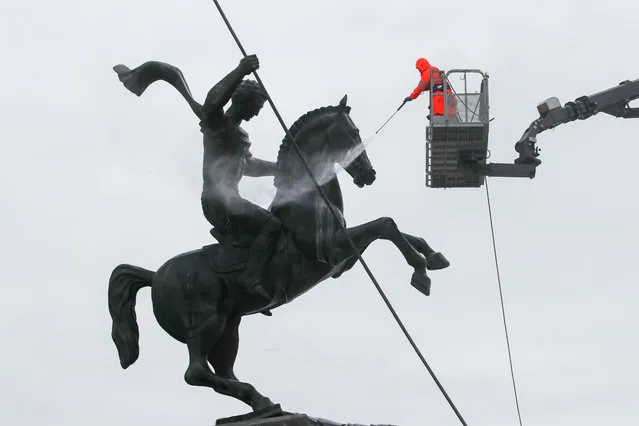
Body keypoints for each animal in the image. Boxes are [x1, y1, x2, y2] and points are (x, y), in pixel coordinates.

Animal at [109, 94, 450, 412]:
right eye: (353, 133)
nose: (369, 174)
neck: (308, 196)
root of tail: (155, 276)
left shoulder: (345, 256)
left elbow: (395, 229)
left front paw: (433, 258)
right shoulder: (334, 249)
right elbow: (386, 225)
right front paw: (420, 272)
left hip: (229, 328)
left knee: (221, 371)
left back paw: (260, 400)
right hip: (207, 324)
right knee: (195, 372)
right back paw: (257, 398)